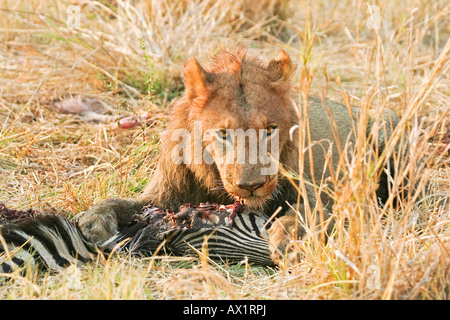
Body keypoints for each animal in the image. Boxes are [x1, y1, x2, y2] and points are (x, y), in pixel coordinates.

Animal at [78, 47, 400, 262]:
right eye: (223, 133)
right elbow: (117, 202)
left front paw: (286, 238)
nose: (252, 186)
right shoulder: (162, 197)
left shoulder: (324, 193)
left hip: (387, 125)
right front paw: (93, 222)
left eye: (269, 129)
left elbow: (306, 211)